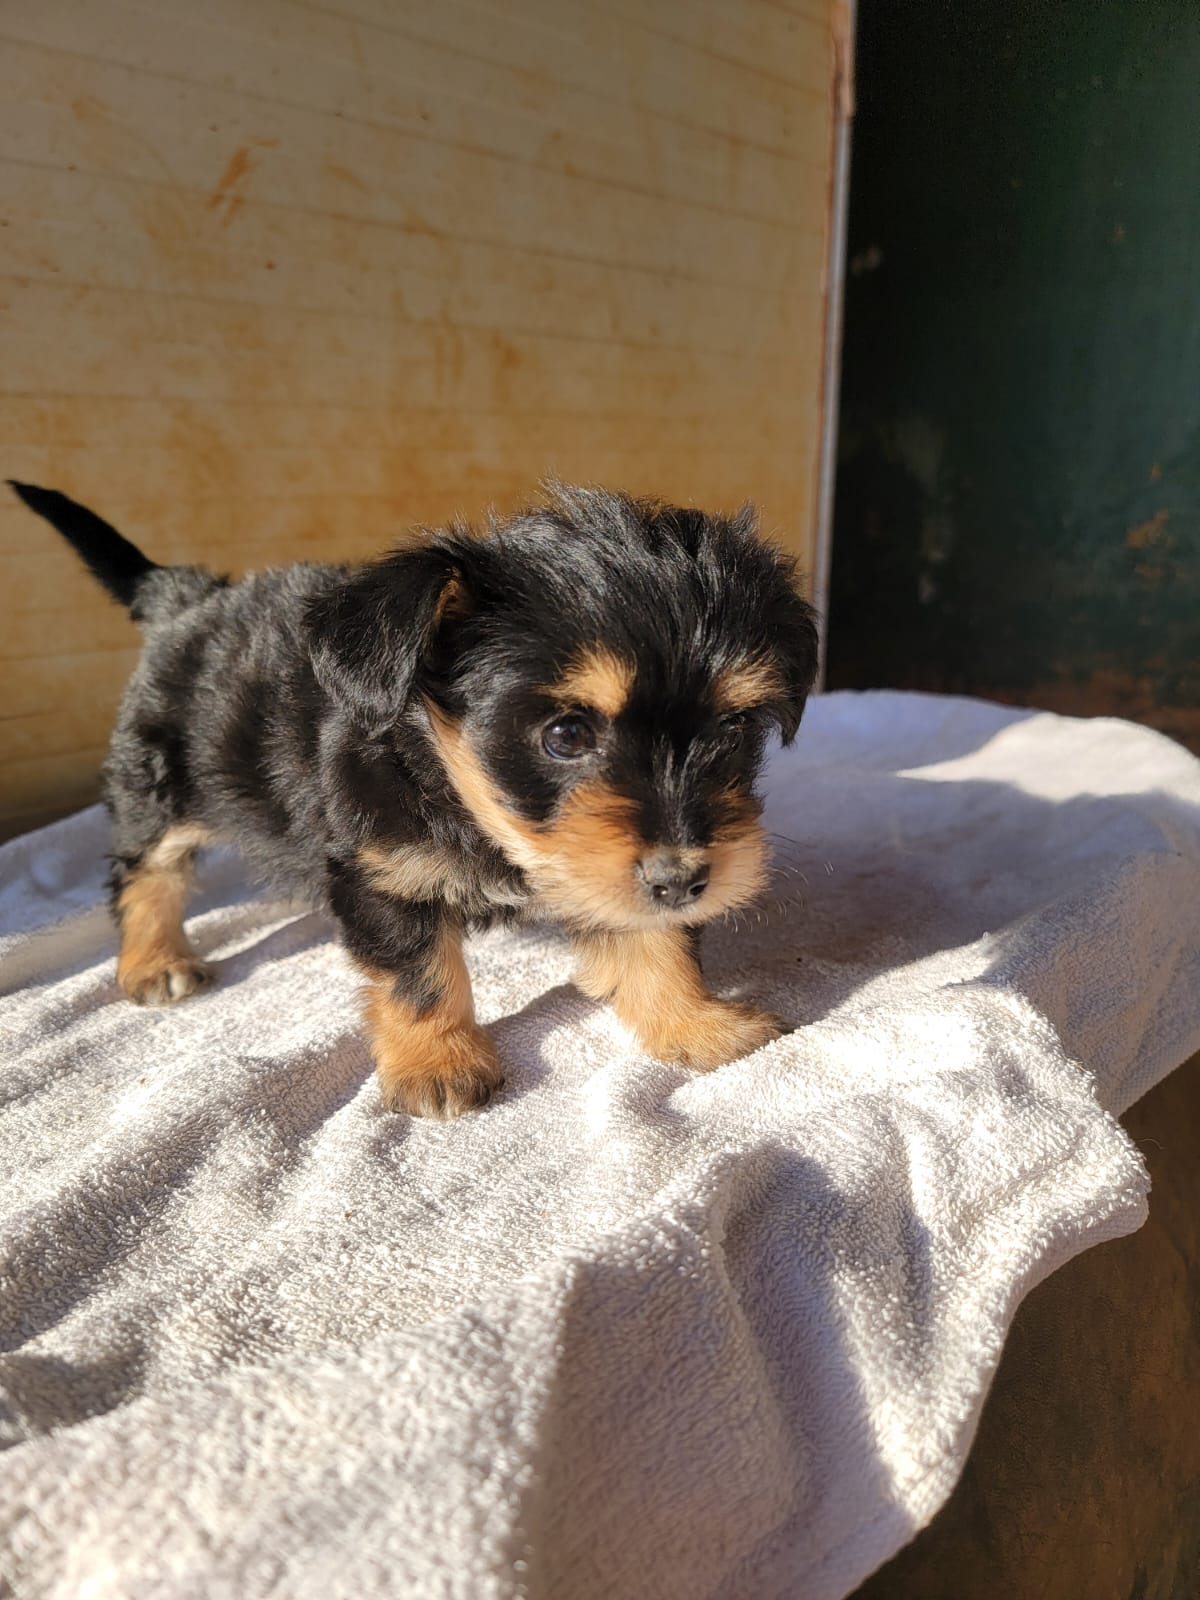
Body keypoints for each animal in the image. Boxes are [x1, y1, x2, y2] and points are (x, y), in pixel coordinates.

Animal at [9, 480, 819, 1117]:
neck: (449, 780)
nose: (684, 879)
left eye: (735, 729)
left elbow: (655, 939)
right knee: (146, 871)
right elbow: (418, 973)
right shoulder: (382, 873)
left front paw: (695, 1025)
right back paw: (154, 961)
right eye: (565, 735)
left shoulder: (599, 868)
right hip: (160, 785)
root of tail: (186, 596)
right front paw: (439, 1066)